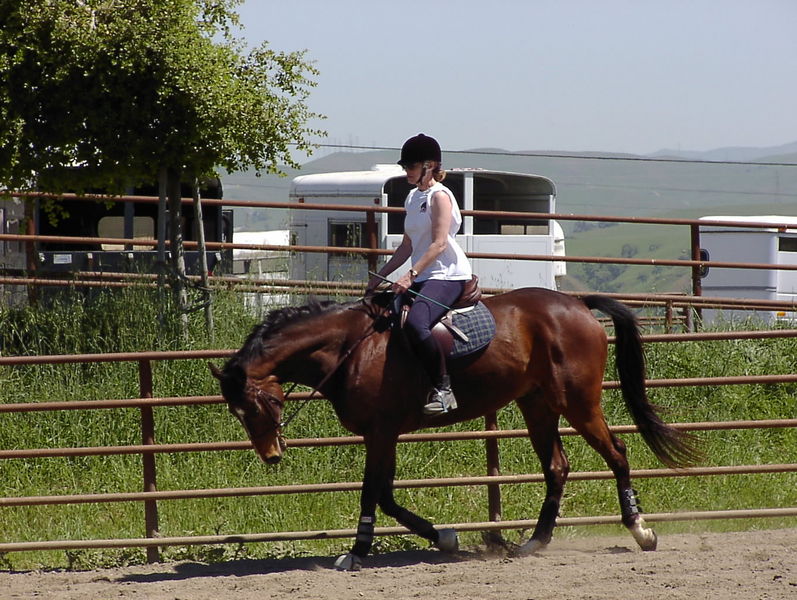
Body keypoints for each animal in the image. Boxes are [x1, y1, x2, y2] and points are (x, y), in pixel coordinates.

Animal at [210, 287, 698, 571]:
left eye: (258, 404)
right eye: (236, 412)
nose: (272, 455)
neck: (352, 347)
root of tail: (577, 304)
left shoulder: (380, 431)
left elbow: (372, 493)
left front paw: (357, 552)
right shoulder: (383, 434)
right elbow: (386, 495)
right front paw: (444, 537)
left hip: (577, 402)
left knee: (616, 453)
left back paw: (641, 532)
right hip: (537, 405)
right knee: (557, 467)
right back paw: (533, 543)